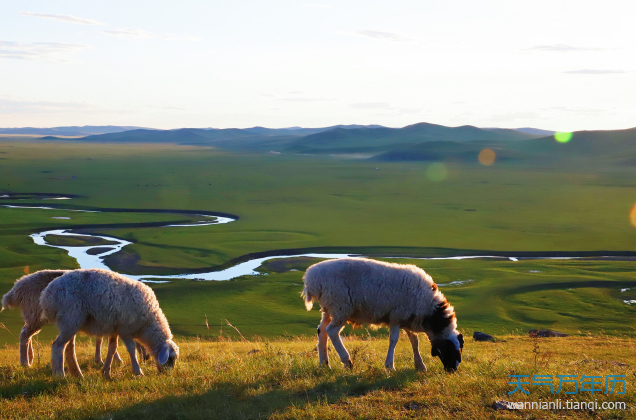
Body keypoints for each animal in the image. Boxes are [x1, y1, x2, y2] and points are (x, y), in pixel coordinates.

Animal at [39, 270, 179, 378]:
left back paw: (77, 374)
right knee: (57, 346)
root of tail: (46, 295)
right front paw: (138, 371)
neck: (147, 324)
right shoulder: (124, 329)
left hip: (71, 322)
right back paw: (59, 375)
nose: (167, 374)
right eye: (170, 358)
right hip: (70, 318)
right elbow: (131, 349)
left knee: (69, 348)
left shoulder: (114, 329)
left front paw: (106, 372)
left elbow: (112, 349)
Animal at [300, 258, 464, 372]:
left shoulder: (407, 317)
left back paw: (324, 364)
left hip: (329, 308)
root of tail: (311, 278)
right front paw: (390, 366)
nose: (452, 370)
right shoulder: (396, 316)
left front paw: (420, 365)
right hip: (341, 307)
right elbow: (394, 340)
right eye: (450, 349)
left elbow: (414, 340)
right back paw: (347, 361)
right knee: (332, 331)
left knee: (321, 331)